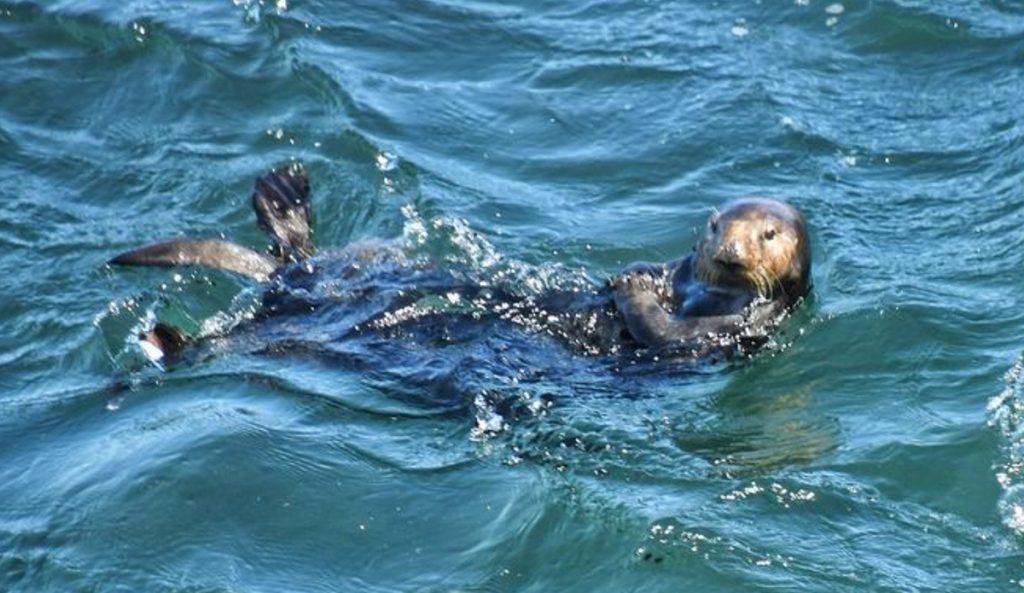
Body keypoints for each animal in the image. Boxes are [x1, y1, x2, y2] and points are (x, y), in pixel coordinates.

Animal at [108, 166, 811, 362]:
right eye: (717, 225)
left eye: (768, 233)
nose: (730, 249)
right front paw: (632, 272)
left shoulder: (735, 327)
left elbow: (665, 333)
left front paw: (632, 287)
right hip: (356, 267)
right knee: (301, 257)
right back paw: (283, 196)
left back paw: (165, 341)